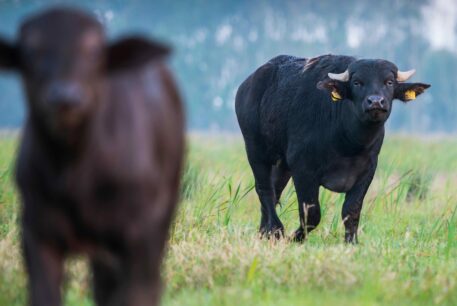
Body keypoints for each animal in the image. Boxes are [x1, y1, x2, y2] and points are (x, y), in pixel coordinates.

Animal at [0, 7, 185, 306]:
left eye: (94, 51)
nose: (65, 99)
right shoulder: (37, 232)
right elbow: (44, 293)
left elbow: (139, 292)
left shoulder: (139, 233)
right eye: (31, 51)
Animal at [237, 53, 430, 243]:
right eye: (357, 82)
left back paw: (264, 232)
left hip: (282, 163)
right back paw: (275, 230)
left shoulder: (367, 171)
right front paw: (295, 237)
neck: (348, 145)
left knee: (275, 190)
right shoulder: (303, 169)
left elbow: (351, 210)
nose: (376, 102)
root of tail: (247, 84)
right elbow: (312, 213)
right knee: (264, 190)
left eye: (389, 82)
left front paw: (351, 241)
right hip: (255, 150)